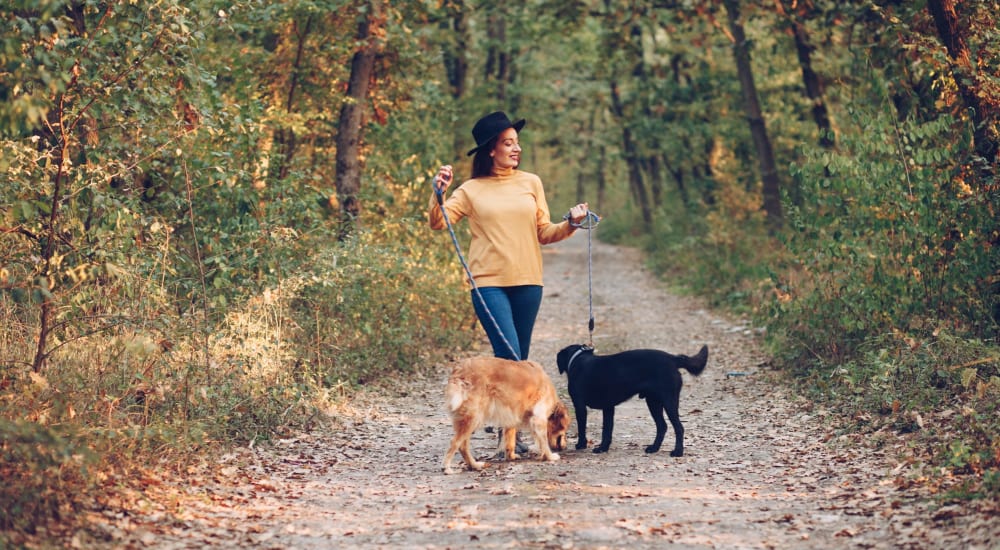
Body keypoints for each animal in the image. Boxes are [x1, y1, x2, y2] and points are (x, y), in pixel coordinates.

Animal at [560, 344, 708, 458]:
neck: (578, 359)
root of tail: (673, 358)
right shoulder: (608, 407)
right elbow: (607, 430)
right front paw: (603, 448)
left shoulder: (580, 406)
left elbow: (582, 429)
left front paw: (581, 445)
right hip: (653, 402)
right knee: (662, 426)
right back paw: (653, 448)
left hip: (668, 401)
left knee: (679, 427)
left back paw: (677, 452)